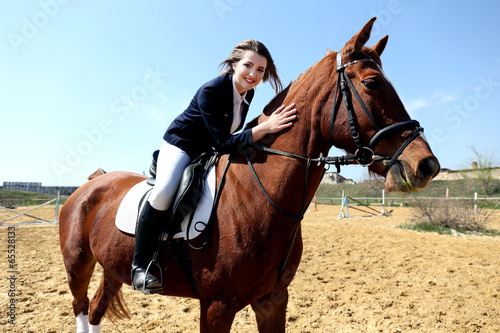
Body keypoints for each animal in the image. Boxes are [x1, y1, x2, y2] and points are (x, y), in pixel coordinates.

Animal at [60, 18, 440, 332]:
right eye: (373, 84)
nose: (426, 166)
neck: (260, 197)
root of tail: (90, 185)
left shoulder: (273, 299)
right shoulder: (217, 307)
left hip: (113, 267)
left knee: (97, 310)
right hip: (78, 265)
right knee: (81, 308)